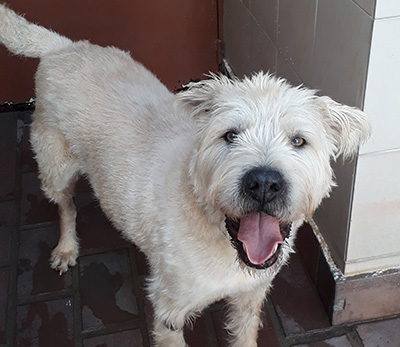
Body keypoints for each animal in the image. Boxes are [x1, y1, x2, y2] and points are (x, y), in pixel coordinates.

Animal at [0, 4, 370, 346]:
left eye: (298, 141)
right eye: (230, 135)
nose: (264, 183)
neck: (223, 239)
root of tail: (63, 46)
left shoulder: (250, 298)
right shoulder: (169, 311)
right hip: (55, 165)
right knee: (65, 206)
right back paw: (66, 248)